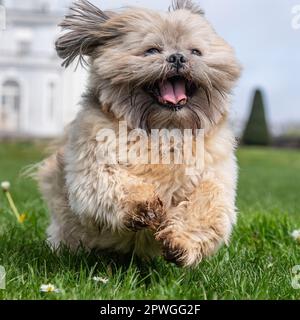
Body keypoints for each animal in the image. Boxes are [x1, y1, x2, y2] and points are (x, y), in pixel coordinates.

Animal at [37, 0, 240, 268]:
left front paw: (180, 243)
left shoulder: (217, 176)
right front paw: (144, 204)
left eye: (195, 51)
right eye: (152, 50)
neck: (165, 131)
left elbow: (208, 203)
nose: (178, 57)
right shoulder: (91, 168)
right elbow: (111, 181)